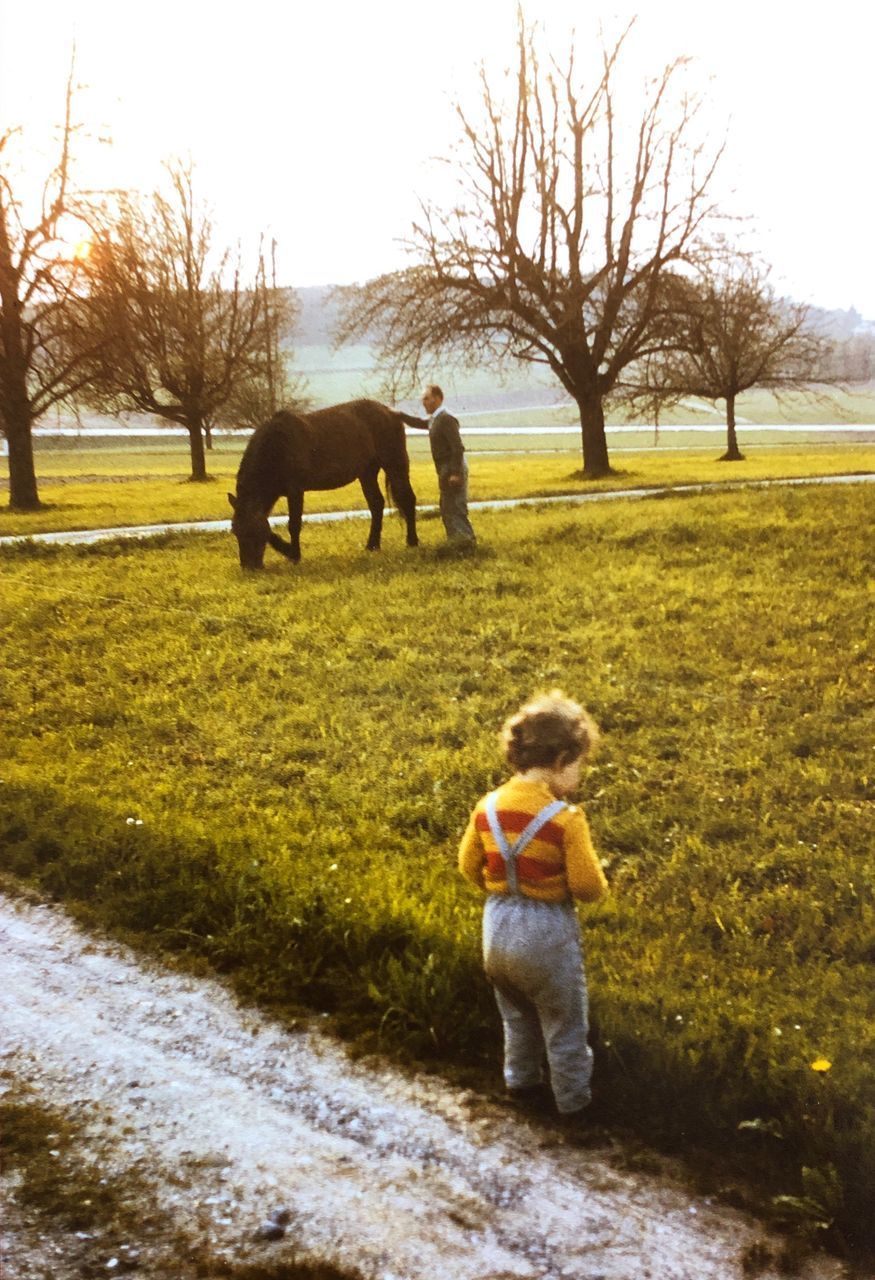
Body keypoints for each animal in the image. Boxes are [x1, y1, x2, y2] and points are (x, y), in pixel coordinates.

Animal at [227, 399, 424, 570]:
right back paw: (372, 545)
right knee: (376, 504)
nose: (249, 567)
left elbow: (294, 524)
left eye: (253, 531)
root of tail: (392, 412)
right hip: (367, 472)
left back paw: (412, 541)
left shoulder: (295, 490)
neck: (277, 447)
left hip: (394, 463)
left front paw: (294, 554)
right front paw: (287, 550)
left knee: (407, 499)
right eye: (235, 531)